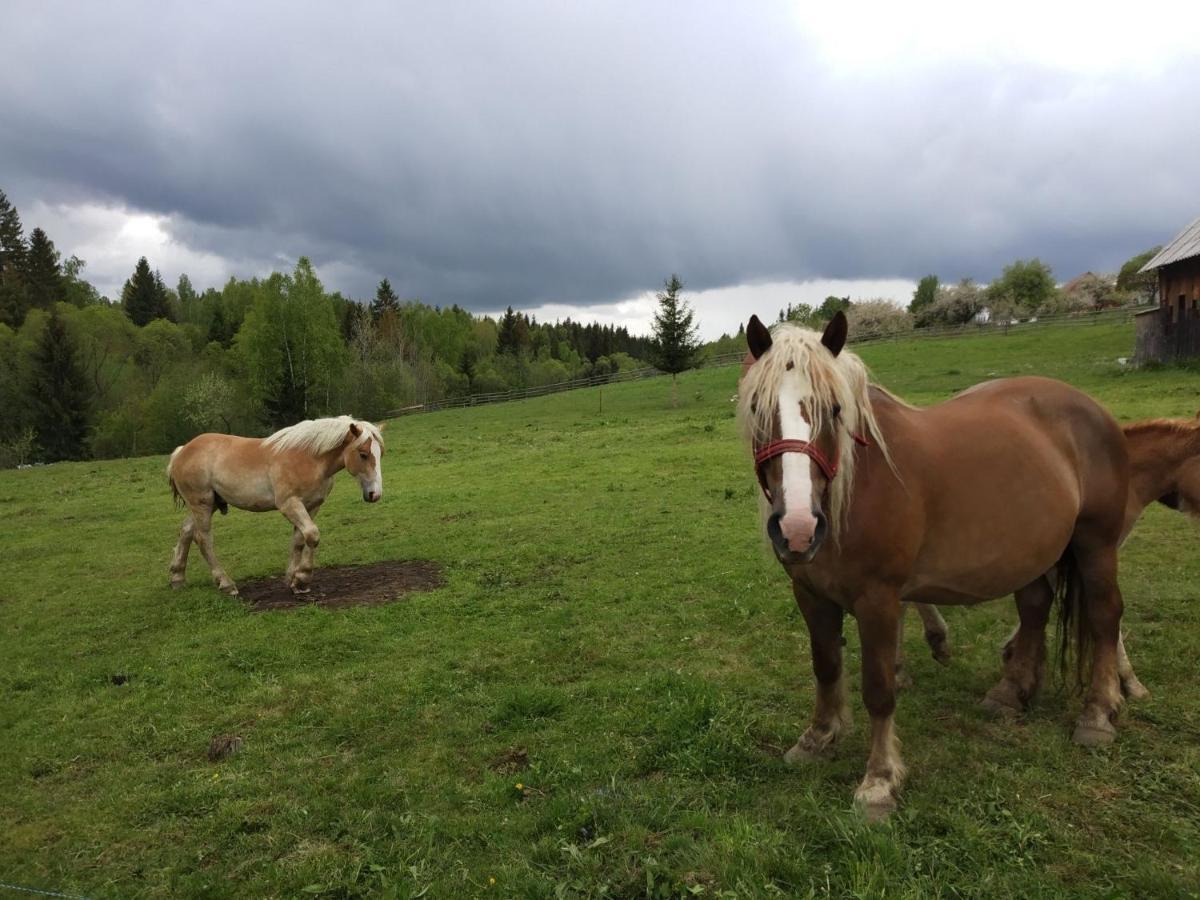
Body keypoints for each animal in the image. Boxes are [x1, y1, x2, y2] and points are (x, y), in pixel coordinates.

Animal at [166, 415, 384, 600]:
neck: (309, 458)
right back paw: (227, 584)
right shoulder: (289, 504)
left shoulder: (312, 506)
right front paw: (302, 578)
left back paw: (177, 578)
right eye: (363, 454)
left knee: (186, 531)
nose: (375, 494)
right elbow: (312, 535)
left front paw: (294, 581)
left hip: (207, 505)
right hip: (201, 504)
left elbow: (299, 540)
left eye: (380, 454)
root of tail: (181, 451)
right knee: (203, 539)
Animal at [734, 314, 1128, 820]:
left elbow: (879, 689)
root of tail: (1093, 408)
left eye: (835, 410)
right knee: (1035, 609)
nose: (798, 528)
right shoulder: (810, 594)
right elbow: (825, 666)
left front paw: (880, 781)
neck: (855, 486)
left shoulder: (879, 600)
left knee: (1104, 617)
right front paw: (818, 738)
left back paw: (1097, 714)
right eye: (758, 407)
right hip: (1033, 552)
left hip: (1096, 545)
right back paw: (1011, 693)